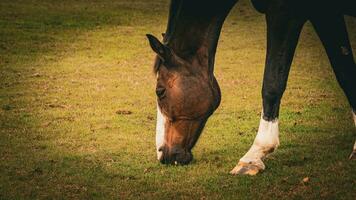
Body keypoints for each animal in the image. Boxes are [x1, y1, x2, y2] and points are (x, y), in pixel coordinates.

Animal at [145, 0, 356, 175]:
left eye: (159, 91)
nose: (162, 154)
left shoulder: (285, 13)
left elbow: (272, 84)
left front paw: (254, 155)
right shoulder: (325, 14)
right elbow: (346, 74)